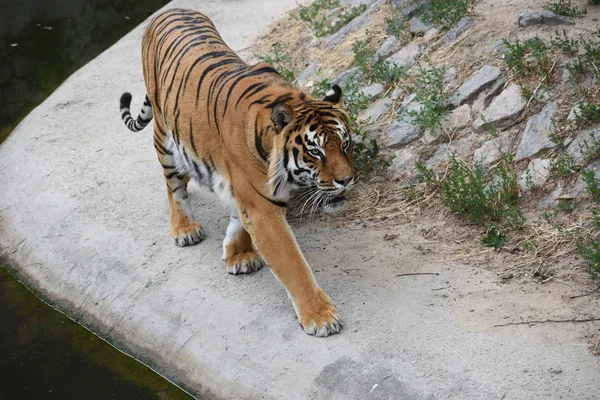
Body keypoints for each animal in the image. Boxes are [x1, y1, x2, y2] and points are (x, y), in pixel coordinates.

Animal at [120, 7, 356, 336]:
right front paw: (320, 316)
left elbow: (238, 218)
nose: (347, 180)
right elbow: (292, 264)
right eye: (315, 152)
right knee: (172, 183)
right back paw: (184, 228)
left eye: (345, 144)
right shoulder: (262, 208)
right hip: (164, 136)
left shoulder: (245, 194)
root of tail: (169, 10)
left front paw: (238, 253)